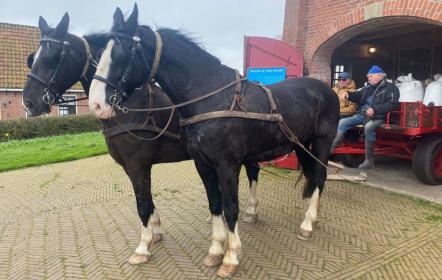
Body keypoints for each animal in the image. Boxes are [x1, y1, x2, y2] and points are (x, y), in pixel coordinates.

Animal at [22, 13, 260, 266]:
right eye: (32, 59)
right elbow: (147, 199)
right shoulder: (131, 166)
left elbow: (142, 204)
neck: (130, 105)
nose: (29, 102)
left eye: (52, 56)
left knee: (253, 172)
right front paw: (155, 232)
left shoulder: (138, 164)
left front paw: (143, 246)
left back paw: (251, 211)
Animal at [88, 4, 340, 278]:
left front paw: (230, 258)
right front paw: (215, 251)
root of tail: (324, 89)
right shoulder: (203, 165)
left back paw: (308, 224)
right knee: (312, 176)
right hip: (301, 144)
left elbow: (230, 207)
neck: (211, 97)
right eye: (99, 53)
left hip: (322, 142)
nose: (96, 104)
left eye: (122, 53)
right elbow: (215, 204)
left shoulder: (226, 165)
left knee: (320, 176)